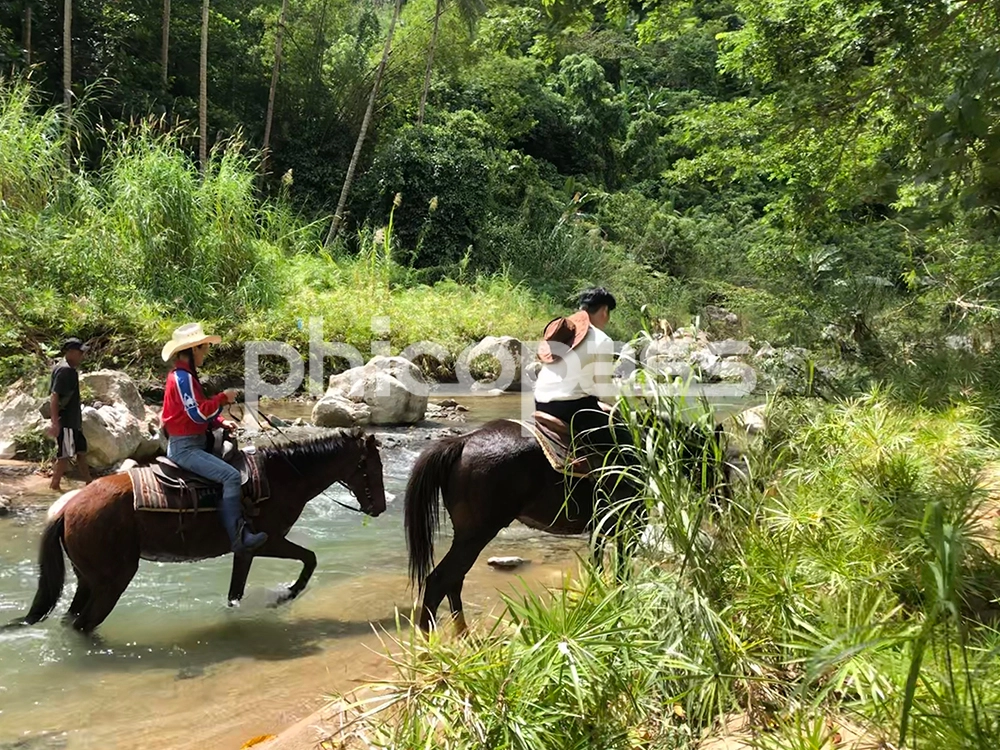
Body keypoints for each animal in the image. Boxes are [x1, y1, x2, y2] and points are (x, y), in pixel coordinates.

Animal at [19, 428, 386, 636]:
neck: (285, 477)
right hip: (112, 581)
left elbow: (235, 593)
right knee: (85, 624)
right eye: (371, 466)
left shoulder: (244, 550)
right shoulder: (265, 542)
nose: (379, 508)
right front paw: (285, 596)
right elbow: (309, 559)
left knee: (72, 620)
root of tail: (68, 507)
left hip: (87, 578)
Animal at [402, 418, 732, 636]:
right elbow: (621, 574)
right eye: (719, 463)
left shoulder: (601, 530)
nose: (724, 507)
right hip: (476, 534)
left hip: (467, 536)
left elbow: (600, 569)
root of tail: (461, 442)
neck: (645, 448)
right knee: (439, 582)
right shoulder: (629, 526)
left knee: (453, 582)